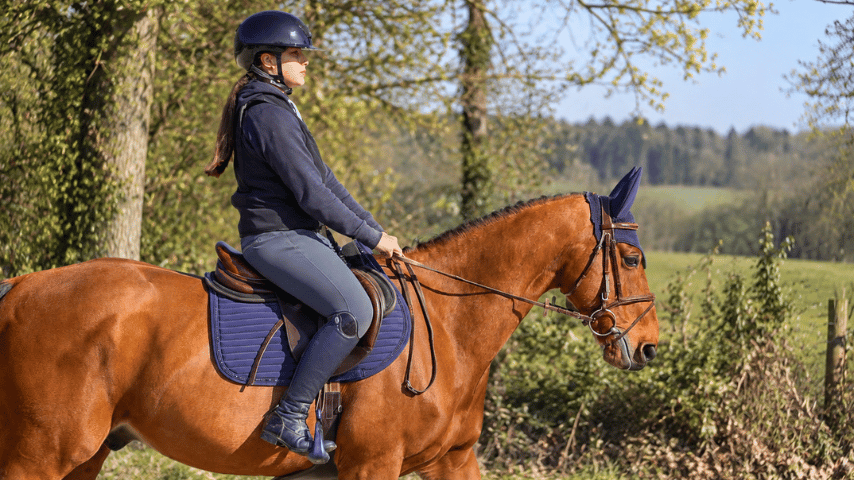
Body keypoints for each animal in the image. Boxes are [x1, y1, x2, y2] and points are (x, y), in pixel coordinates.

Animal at [0, 173, 658, 480]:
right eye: (631, 258)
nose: (649, 348)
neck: (450, 324)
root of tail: (22, 286)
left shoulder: (454, 459)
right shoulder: (372, 464)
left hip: (82, 455)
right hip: (41, 454)